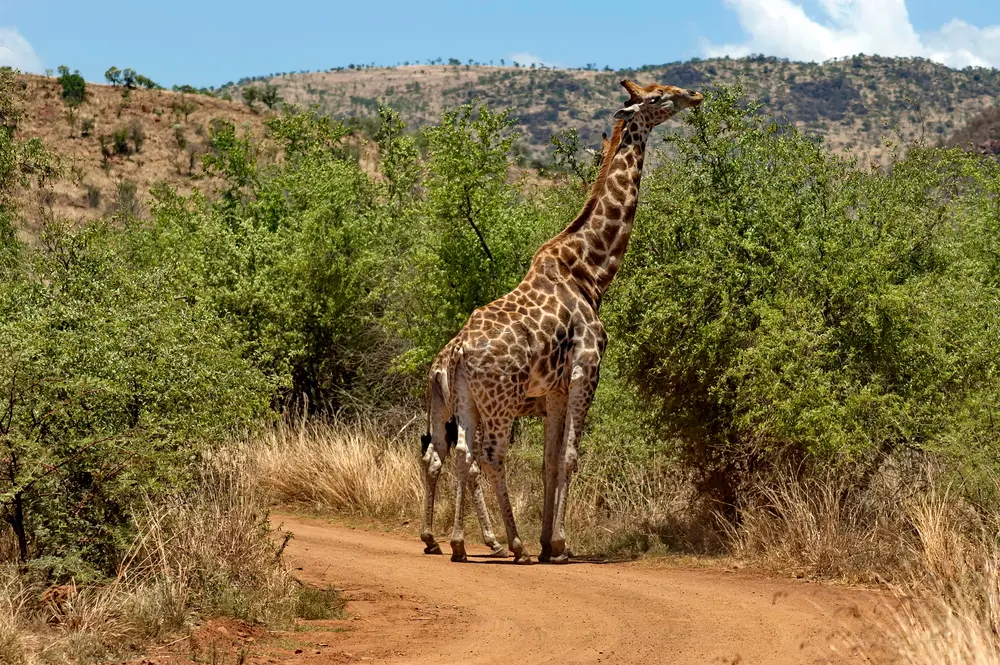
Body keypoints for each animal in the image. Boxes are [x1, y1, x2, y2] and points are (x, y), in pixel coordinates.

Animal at [430, 79, 703, 564]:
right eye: (655, 97)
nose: (693, 95)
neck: (591, 272)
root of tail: (457, 351)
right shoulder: (586, 370)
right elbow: (572, 457)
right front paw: (556, 543)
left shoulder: (555, 389)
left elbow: (550, 461)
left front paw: (549, 543)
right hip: (500, 400)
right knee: (490, 456)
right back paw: (512, 545)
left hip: (463, 399)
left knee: (460, 454)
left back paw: (461, 543)